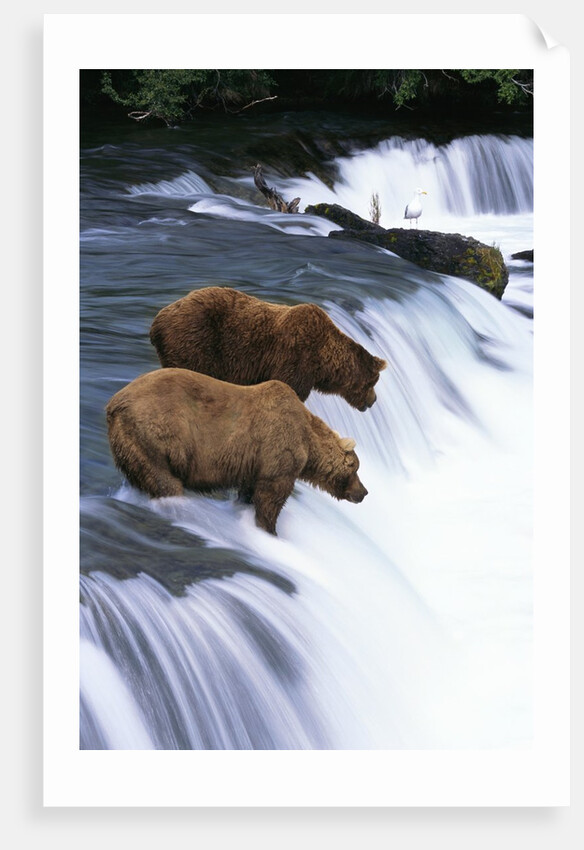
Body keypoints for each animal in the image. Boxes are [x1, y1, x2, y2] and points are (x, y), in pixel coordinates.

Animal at [105, 368, 368, 536]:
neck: (308, 440)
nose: (364, 492)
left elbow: (250, 492)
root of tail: (113, 404)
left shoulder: (255, 462)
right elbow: (271, 497)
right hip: (155, 435)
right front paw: (269, 530)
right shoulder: (279, 450)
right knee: (165, 482)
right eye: (355, 468)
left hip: (131, 446)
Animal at [149, 286, 387, 412]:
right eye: (373, 382)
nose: (374, 400)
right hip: (196, 341)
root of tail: (158, 320)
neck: (322, 361)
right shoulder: (295, 357)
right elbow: (289, 389)